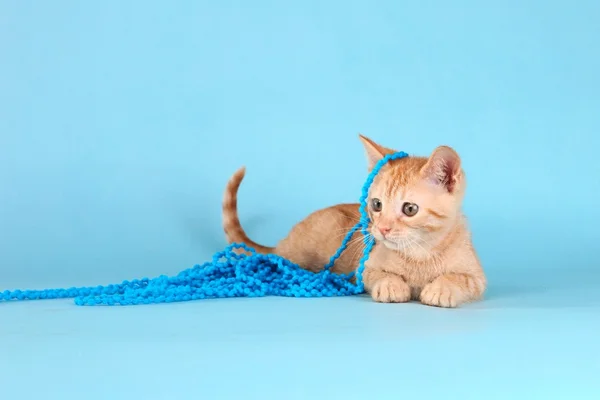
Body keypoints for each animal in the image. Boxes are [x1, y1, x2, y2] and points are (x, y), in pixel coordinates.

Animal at [223, 136, 486, 308]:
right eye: (377, 205)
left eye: (409, 209)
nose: (382, 229)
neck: (419, 253)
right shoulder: (366, 268)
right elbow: (379, 275)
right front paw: (391, 285)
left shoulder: (477, 277)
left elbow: (460, 278)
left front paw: (441, 288)